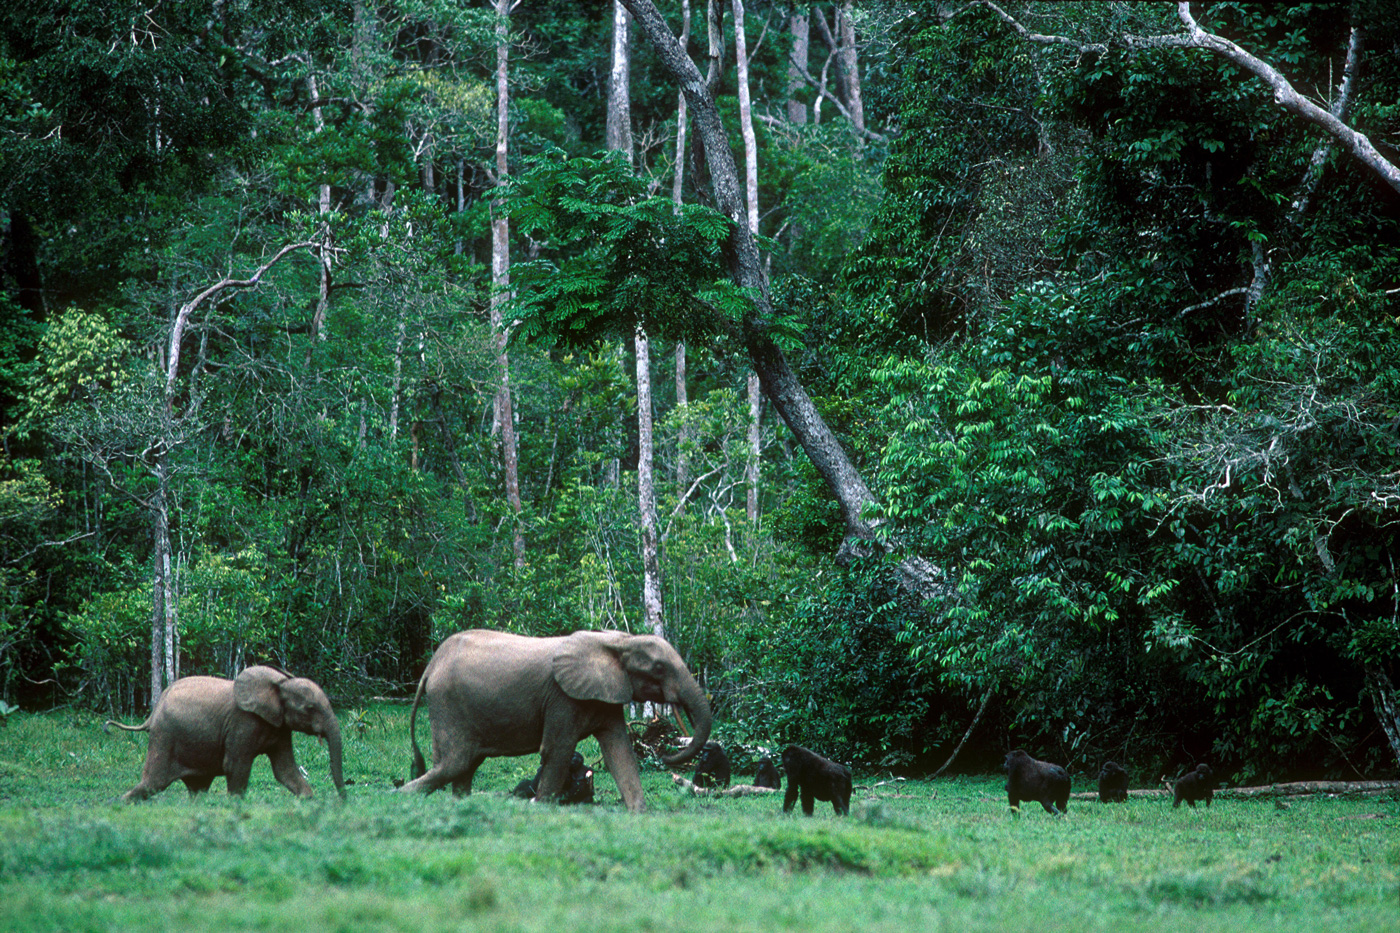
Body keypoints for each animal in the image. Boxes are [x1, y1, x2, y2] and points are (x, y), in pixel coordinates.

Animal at [104, 661, 344, 801]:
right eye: (310, 708)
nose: (344, 800)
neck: (280, 682)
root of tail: (152, 714)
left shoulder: (281, 726)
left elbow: (284, 770)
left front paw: (307, 801)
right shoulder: (242, 723)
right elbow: (236, 765)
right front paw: (236, 807)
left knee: (197, 788)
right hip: (164, 735)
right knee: (154, 782)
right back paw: (122, 804)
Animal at [403, 627, 711, 812]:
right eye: (658, 668)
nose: (666, 753)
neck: (619, 641)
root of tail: (432, 665)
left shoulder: (605, 693)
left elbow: (619, 752)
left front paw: (639, 814)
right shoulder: (562, 698)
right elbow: (557, 751)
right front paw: (541, 808)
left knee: (464, 767)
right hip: (448, 704)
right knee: (454, 763)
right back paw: (400, 798)